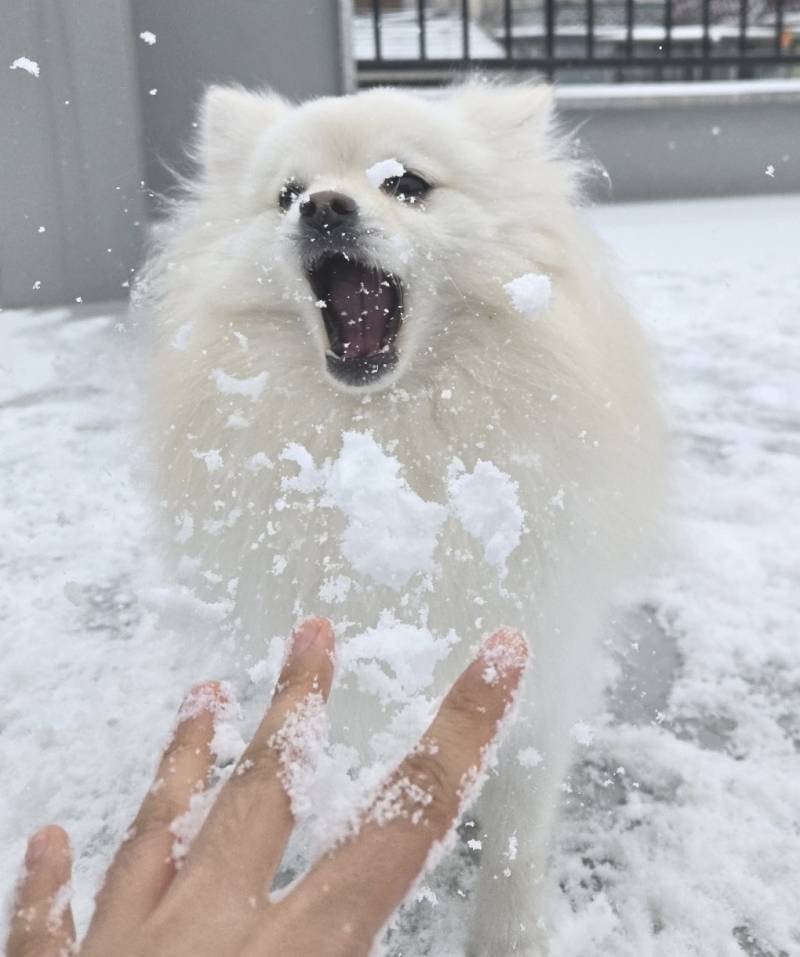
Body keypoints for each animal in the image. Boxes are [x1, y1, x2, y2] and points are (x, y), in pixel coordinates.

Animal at [142, 84, 664, 956]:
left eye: (407, 184)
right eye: (286, 193)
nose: (322, 206)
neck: (395, 443)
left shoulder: (538, 657)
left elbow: (517, 836)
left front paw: (507, 936)